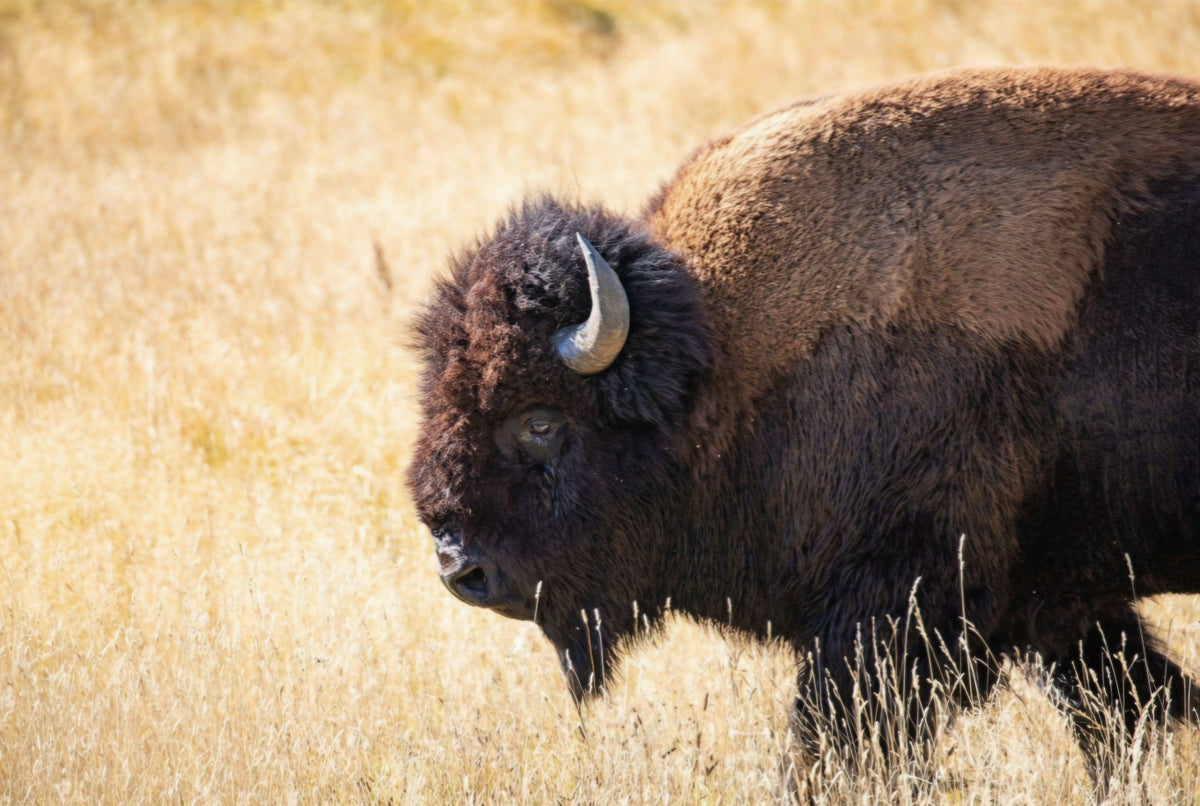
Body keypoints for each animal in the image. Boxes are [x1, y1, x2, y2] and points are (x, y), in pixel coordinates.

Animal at [406, 66, 1200, 760]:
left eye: (541, 422)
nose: (460, 568)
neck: (722, 355)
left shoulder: (894, 609)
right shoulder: (1060, 602)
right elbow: (1130, 704)